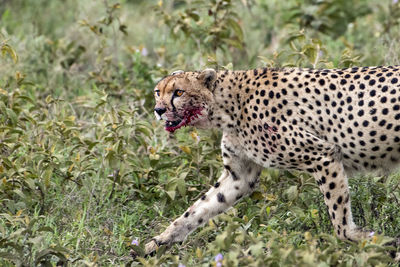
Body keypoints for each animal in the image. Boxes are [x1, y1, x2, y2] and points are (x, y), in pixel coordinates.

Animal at [143, 66, 400, 256]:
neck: (226, 106)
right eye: (157, 92)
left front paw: (372, 240)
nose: (158, 110)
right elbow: (199, 209)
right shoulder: (239, 176)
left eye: (178, 93)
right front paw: (157, 243)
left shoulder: (323, 155)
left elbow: (340, 222)